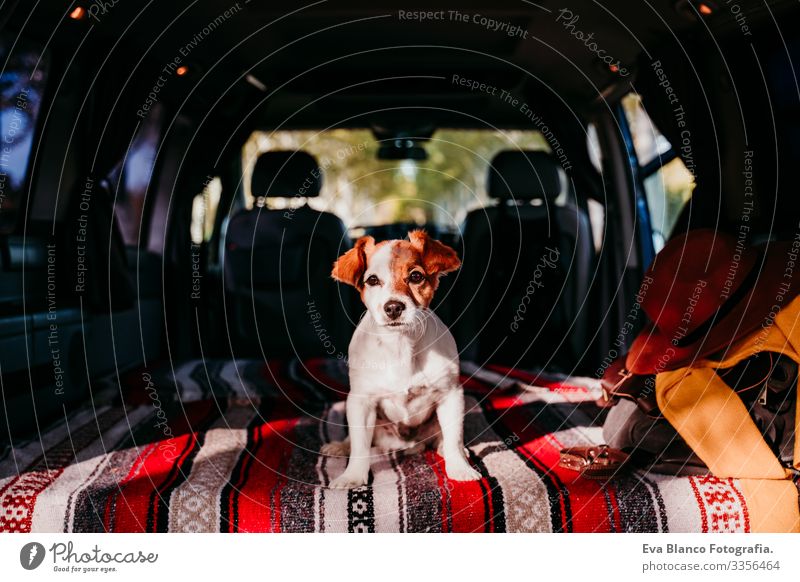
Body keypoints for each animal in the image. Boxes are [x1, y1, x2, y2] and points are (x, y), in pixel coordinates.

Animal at [320, 230, 482, 490]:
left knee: (444, 436)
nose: (393, 307)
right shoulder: (361, 401)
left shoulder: (451, 394)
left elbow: (454, 436)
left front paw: (459, 467)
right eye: (372, 280)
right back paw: (340, 446)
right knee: (355, 440)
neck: (400, 345)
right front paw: (352, 476)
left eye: (416, 276)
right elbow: (360, 446)